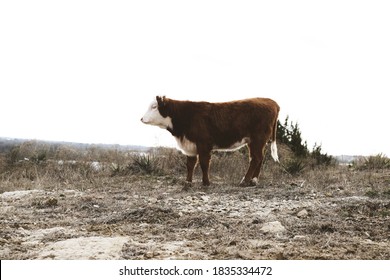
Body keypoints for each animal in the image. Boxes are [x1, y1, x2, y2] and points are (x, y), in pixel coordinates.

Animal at [142, 95, 278, 186]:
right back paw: (253, 181)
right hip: (255, 142)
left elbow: (204, 163)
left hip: (258, 139)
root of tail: (271, 102)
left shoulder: (203, 144)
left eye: (154, 106)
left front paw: (206, 182)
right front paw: (188, 181)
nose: (142, 118)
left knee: (256, 158)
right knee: (259, 158)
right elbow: (190, 164)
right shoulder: (190, 146)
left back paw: (245, 181)